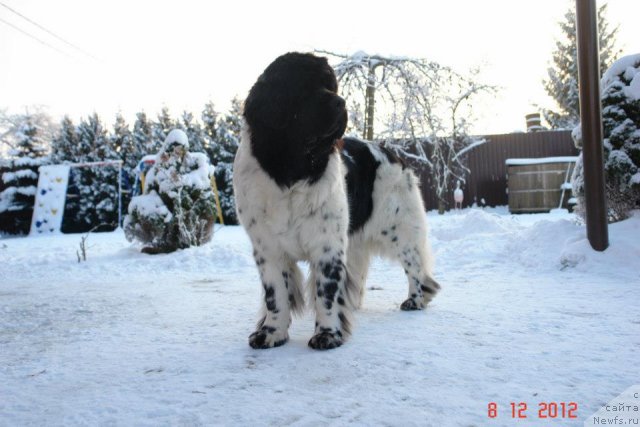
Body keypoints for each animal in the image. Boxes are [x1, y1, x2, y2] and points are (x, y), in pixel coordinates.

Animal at [234, 51, 440, 352]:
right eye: (302, 86)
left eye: (331, 85)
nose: (340, 102)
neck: (293, 167)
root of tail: (393, 154)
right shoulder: (268, 248)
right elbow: (275, 294)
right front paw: (271, 333)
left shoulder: (327, 246)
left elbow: (326, 293)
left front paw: (327, 334)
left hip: (397, 228)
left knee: (415, 264)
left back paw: (416, 299)